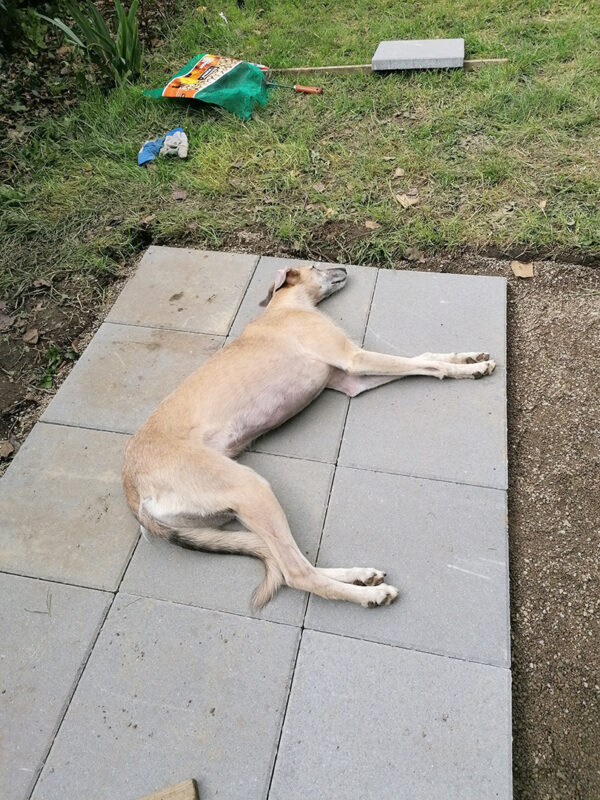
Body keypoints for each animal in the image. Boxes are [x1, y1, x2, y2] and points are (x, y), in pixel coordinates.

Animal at [119, 266, 494, 608]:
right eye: (315, 266)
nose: (344, 268)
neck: (285, 307)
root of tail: (131, 488)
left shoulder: (351, 380)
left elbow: (423, 358)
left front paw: (468, 357)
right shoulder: (354, 359)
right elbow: (429, 365)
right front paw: (468, 369)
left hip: (230, 512)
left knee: (293, 560)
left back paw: (359, 575)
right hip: (251, 488)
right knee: (295, 572)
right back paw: (369, 594)